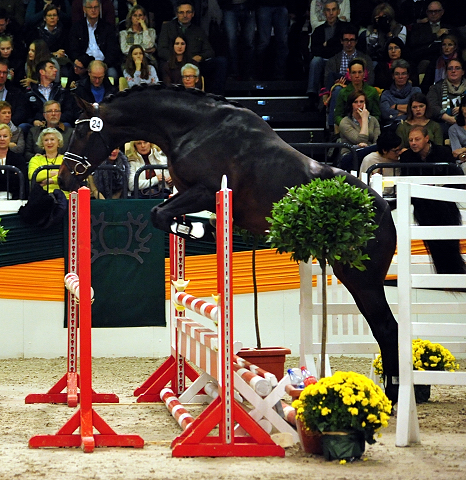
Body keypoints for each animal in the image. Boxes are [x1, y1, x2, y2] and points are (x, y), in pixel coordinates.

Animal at [57, 83, 452, 404]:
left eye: (82, 133)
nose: (63, 180)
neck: (193, 128)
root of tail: (385, 205)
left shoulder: (204, 190)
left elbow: (159, 214)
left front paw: (197, 231)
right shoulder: (187, 192)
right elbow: (162, 213)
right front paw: (196, 230)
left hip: (362, 278)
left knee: (387, 328)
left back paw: (398, 395)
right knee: (387, 330)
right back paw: (408, 392)